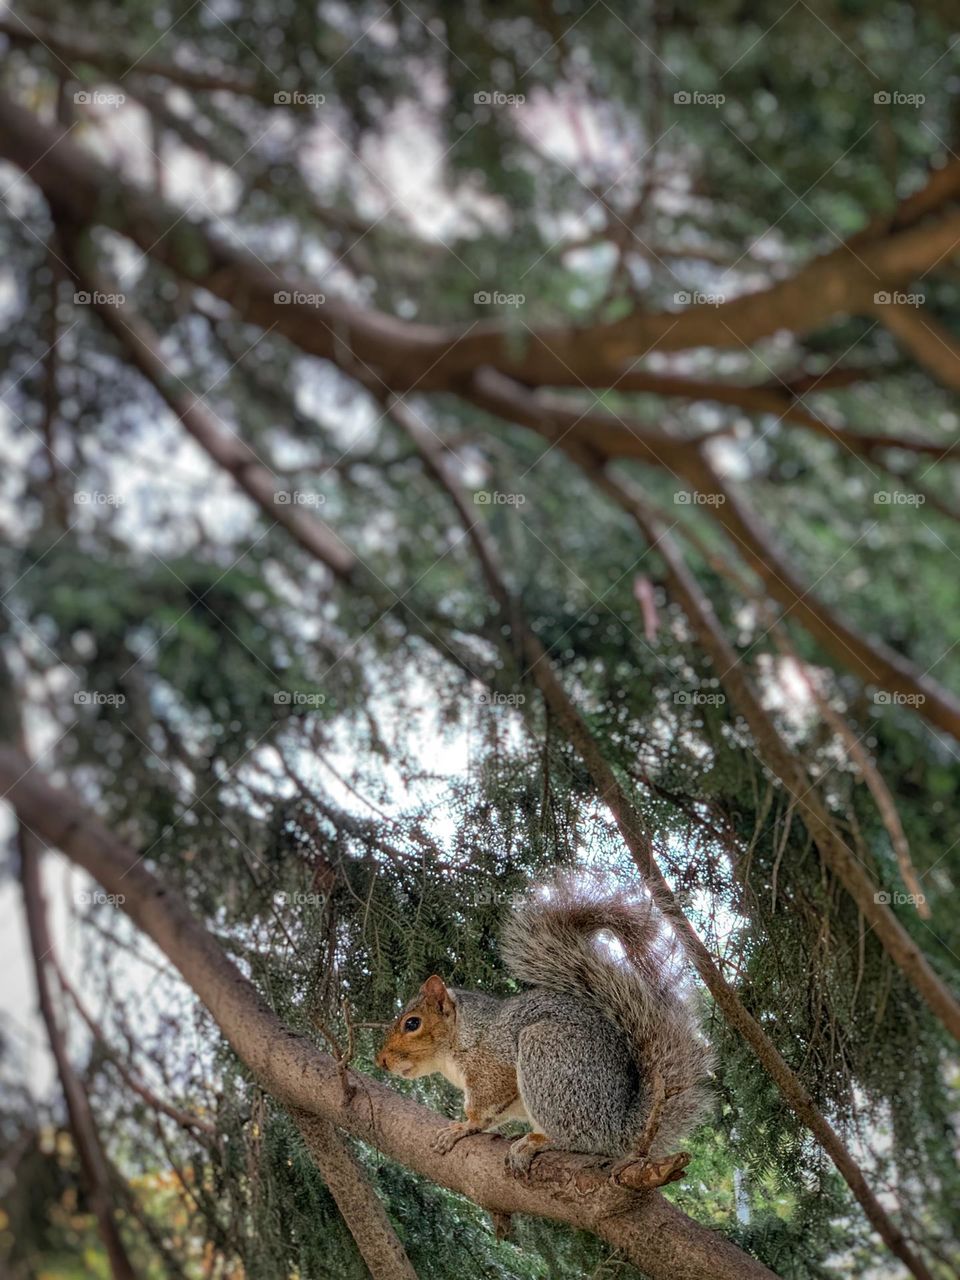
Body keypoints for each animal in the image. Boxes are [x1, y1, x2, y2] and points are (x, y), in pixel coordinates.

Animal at [376, 872, 714, 1188]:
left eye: (412, 1023)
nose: (381, 1061)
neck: (462, 1036)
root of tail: (620, 1127)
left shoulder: (492, 1065)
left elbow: (483, 1107)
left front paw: (462, 1127)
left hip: (547, 1058)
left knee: (579, 1138)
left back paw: (538, 1141)